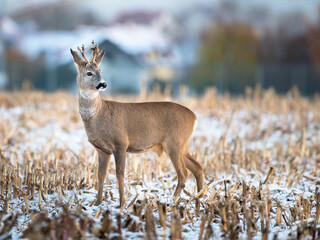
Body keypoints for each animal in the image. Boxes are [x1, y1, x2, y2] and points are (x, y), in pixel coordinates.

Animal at [71, 41, 204, 206]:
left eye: (100, 70)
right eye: (89, 73)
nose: (103, 84)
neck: (99, 115)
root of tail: (194, 117)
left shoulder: (121, 143)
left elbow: (120, 174)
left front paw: (122, 203)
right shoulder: (101, 149)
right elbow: (100, 175)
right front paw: (97, 203)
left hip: (174, 142)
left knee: (184, 173)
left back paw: (173, 201)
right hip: (180, 144)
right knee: (197, 167)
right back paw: (199, 199)